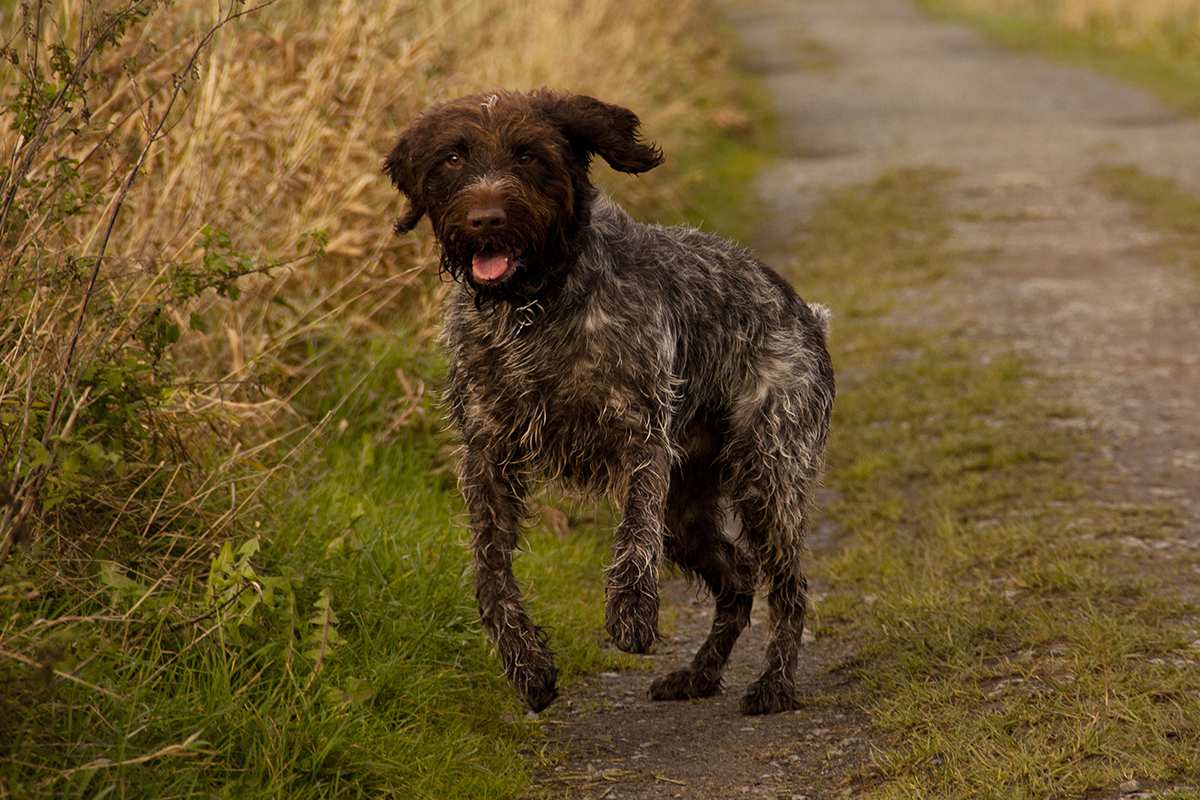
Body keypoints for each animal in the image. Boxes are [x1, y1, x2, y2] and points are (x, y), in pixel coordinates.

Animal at [384, 90, 835, 714]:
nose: (486, 220)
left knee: (788, 587)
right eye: (452, 157)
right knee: (739, 578)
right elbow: (490, 573)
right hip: (687, 512)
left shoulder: (640, 434)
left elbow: (633, 530)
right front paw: (527, 664)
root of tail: (806, 314)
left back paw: (774, 684)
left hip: (767, 476)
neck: (531, 310)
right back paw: (698, 674)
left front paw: (631, 611)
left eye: (528, 155)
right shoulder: (487, 455)